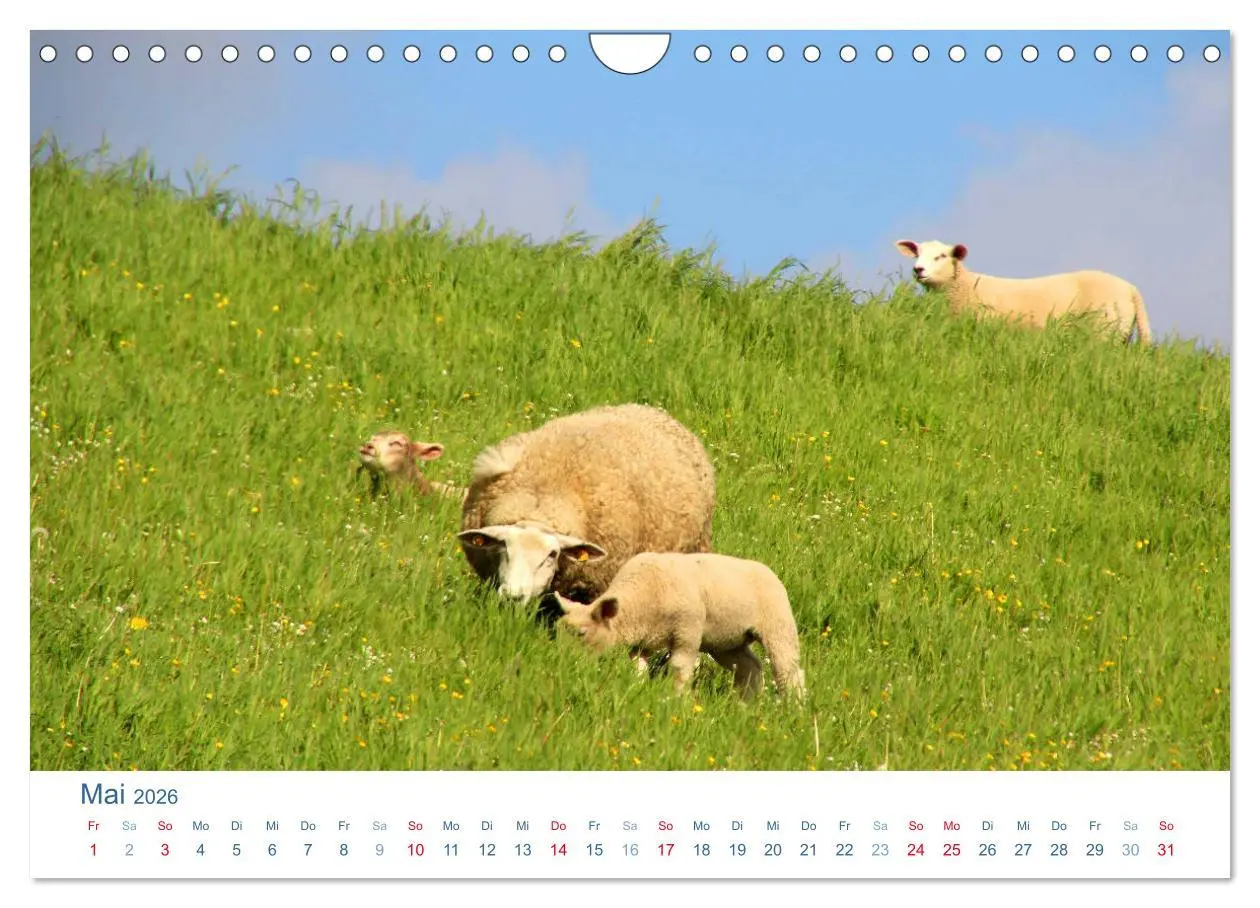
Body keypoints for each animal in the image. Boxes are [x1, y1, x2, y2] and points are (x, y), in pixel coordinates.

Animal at [555, 552, 806, 700]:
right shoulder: (642, 643)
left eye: (581, 633)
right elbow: (637, 668)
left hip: (778, 625)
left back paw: (794, 709)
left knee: (788, 671)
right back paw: (746, 706)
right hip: (726, 642)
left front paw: (676, 702)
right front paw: (636, 691)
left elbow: (679, 669)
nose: (564, 665)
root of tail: (768, 570)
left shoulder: (687, 633)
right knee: (750, 668)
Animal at [895, 239, 1152, 344]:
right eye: (917, 253)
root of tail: (1131, 289)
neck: (964, 287)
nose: (918, 269)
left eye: (941, 256)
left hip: (1104, 332)